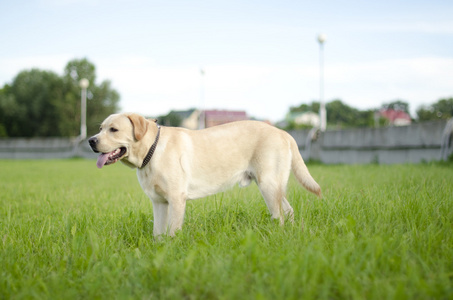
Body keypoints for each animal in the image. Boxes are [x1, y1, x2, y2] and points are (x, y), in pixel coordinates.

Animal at [89, 113, 322, 237]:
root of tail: (283, 132)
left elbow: (173, 231)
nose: (91, 140)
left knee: (279, 215)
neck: (150, 151)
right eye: (100, 128)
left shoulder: (176, 199)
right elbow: (158, 233)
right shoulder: (159, 202)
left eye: (113, 129)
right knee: (289, 211)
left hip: (268, 185)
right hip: (273, 186)